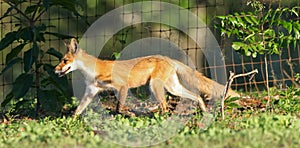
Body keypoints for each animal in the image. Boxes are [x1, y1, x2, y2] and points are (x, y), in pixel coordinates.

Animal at [55, 38, 240, 115]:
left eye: (64, 61)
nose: (55, 70)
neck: (92, 72)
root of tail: (167, 58)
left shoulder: (122, 86)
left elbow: (118, 106)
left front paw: (124, 113)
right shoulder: (91, 92)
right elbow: (78, 110)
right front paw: (71, 122)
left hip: (156, 87)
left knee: (165, 106)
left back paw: (162, 119)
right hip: (173, 88)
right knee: (197, 96)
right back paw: (203, 111)